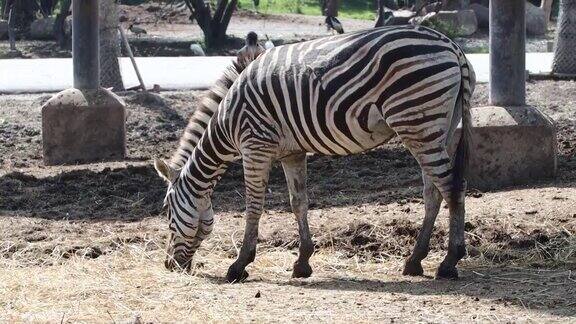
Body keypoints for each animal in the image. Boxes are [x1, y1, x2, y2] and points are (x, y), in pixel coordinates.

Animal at [155, 25, 474, 282]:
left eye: (167, 210)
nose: (169, 265)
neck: (226, 121)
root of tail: (452, 46)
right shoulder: (292, 152)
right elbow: (299, 203)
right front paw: (303, 262)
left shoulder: (255, 146)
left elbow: (253, 207)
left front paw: (239, 265)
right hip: (437, 128)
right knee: (434, 193)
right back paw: (415, 261)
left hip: (417, 123)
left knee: (452, 188)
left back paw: (449, 262)